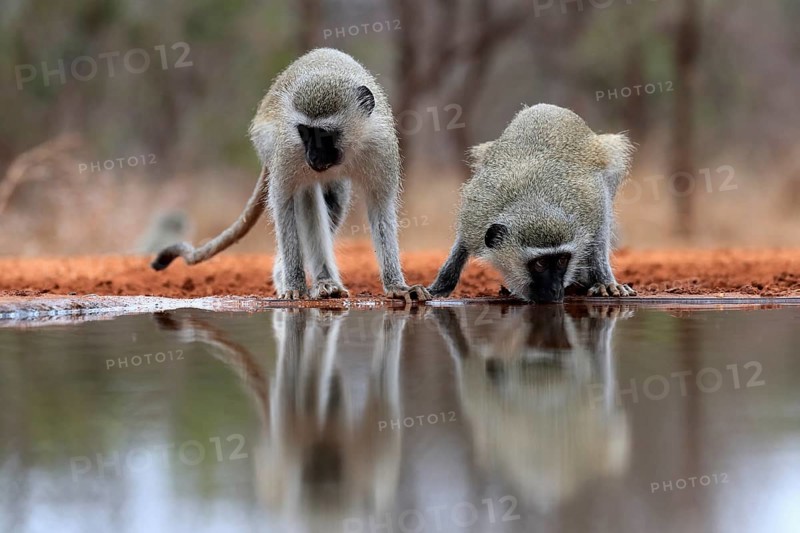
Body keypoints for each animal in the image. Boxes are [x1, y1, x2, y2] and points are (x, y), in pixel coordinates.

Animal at [150, 48, 430, 303]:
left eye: (324, 135)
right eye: (305, 132)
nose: (313, 158)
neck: (350, 146)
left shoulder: (379, 146)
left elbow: (380, 206)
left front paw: (397, 286)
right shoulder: (289, 149)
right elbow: (283, 202)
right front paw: (295, 284)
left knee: (333, 200)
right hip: (269, 146)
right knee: (307, 196)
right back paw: (315, 280)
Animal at [428, 104, 637, 303]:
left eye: (562, 260)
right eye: (540, 264)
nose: (556, 290)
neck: (532, 200)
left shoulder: (592, 204)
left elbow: (599, 232)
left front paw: (604, 281)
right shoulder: (476, 214)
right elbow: (462, 243)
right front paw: (441, 285)